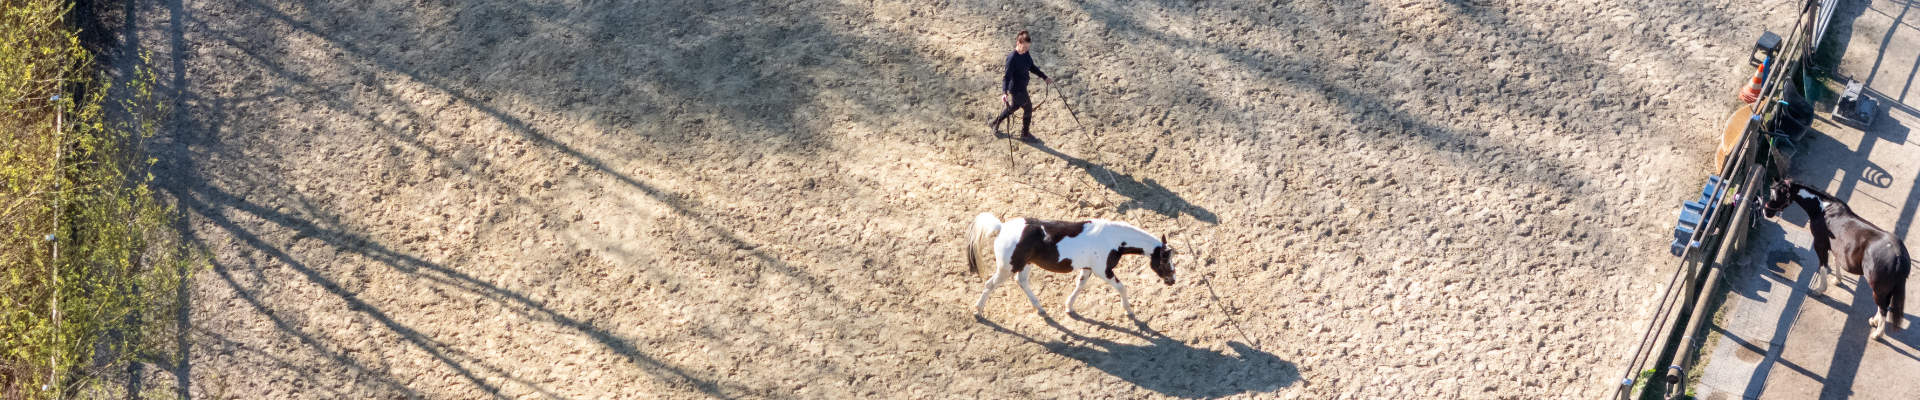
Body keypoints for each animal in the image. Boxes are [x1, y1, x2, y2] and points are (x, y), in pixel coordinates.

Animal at [966, 212, 1175, 319]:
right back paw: (978, 311)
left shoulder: (1088, 269)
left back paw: (1040, 309)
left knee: (1021, 281)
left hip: (1024, 265)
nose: (1172, 281)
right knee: (990, 285)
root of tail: (1002, 228)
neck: (1112, 239)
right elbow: (1122, 288)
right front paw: (1129, 310)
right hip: (1006, 268)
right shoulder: (1104, 271)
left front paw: (1069, 307)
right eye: (1165, 261)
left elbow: (1080, 285)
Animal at [1761, 178, 1912, 340]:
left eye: (1778, 195)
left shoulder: (1819, 244)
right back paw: (1875, 321)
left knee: (1883, 307)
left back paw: (1877, 334)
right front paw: (1837, 280)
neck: (1824, 210)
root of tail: (1898, 254)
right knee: (1884, 304)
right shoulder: (1835, 246)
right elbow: (1836, 260)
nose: (1766, 211)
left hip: (1878, 286)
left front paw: (1820, 289)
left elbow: (1823, 265)